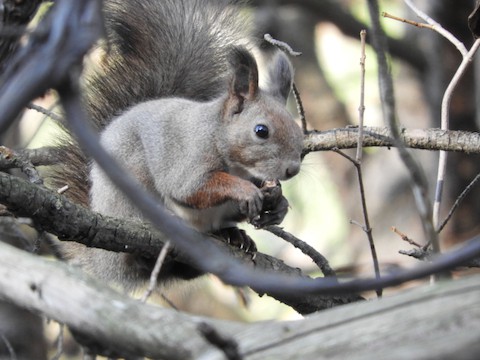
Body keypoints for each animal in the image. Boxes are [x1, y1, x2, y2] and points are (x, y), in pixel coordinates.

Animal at [54, 0, 302, 286]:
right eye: (261, 131)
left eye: (298, 130)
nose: (292, 169)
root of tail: (104, 263)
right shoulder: (189, 158)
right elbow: (191, 188)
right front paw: (246, 191)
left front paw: (277, 203)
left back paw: (233, 236)